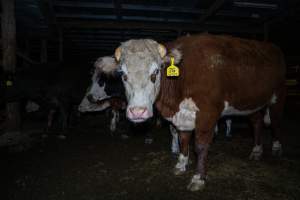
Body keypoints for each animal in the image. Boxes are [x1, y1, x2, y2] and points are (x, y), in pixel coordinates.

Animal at [96, 34, 286, 191]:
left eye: (156, 72)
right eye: (123, 74)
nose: (138, 112)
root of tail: (271, 47)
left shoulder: (207, 113)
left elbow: (200, 146)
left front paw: (198, 178)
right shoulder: (182, 117)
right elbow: (183, 140)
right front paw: (181, 165)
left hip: (277, 95)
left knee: (276, 122)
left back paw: (276, 147)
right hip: (251, 102)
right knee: (257, 123)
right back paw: (256, 150)